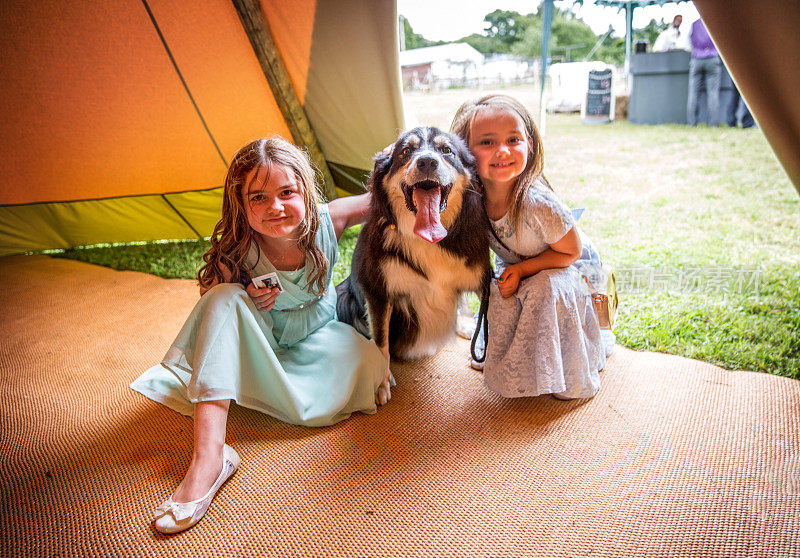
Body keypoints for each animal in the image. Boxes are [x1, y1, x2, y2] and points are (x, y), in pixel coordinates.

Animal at [334, 127, 490, 406]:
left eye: (446, 150)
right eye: (406, 151)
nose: (427, 162)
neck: (426, 239)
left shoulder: (484, 279)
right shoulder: (377, 290)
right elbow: (381, 342)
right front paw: (380, 383)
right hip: (344, 296)